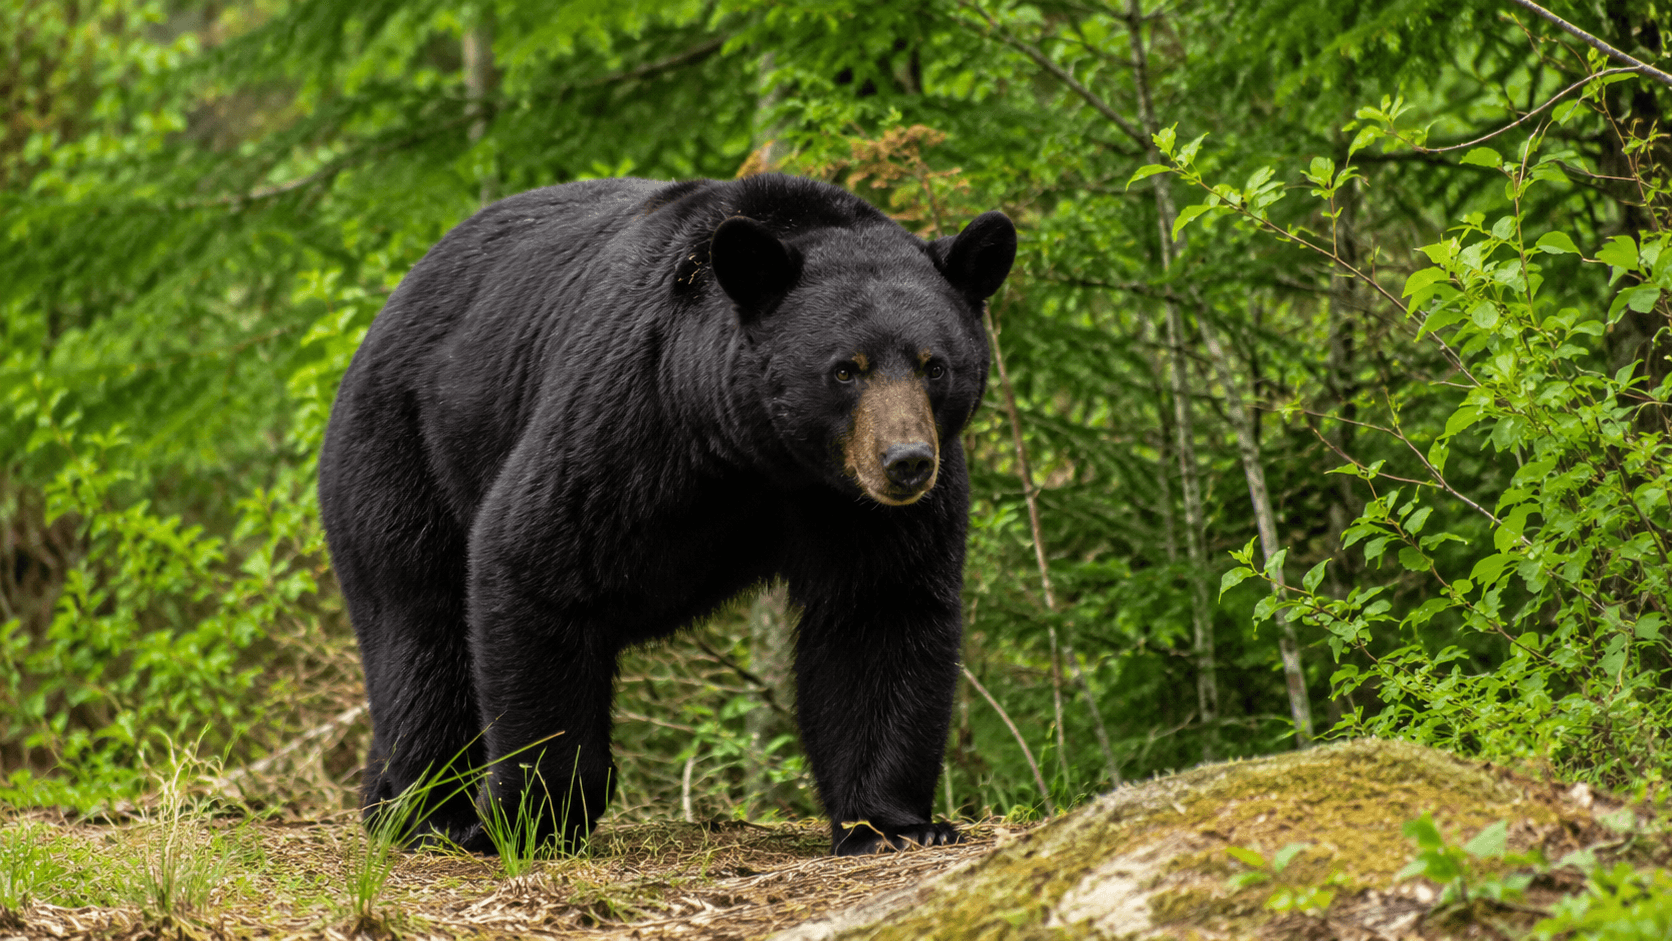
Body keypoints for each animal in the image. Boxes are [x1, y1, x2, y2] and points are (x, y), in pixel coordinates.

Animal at [317, 173, 1016, 855]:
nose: (906, 462)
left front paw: (895, 823)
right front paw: (533, 817)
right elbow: (535, 562)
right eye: (846, 369)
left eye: (934, 366)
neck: (757, 453)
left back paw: (385, 798)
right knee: (418, 624)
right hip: (401, 450)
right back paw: (433, 812)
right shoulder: (630, 414)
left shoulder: (854, 506)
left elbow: (881, 613)